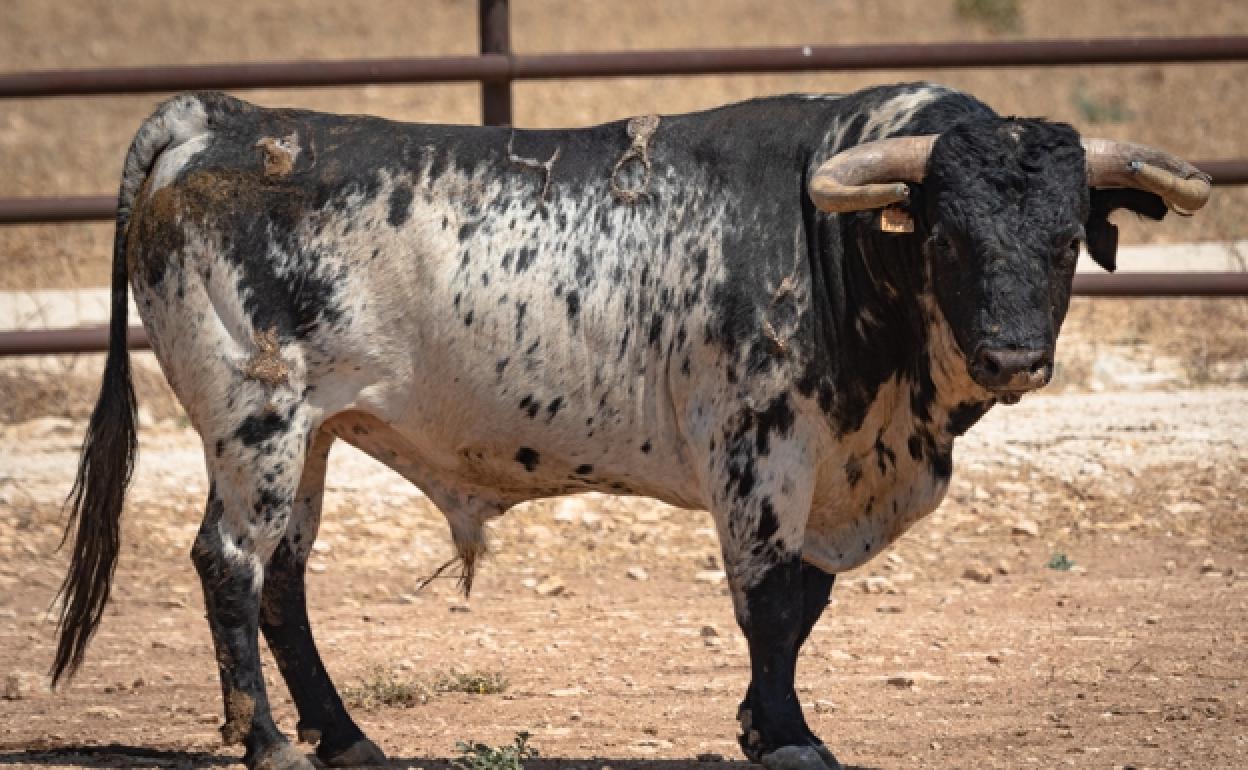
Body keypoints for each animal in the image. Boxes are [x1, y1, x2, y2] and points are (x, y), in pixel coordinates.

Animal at [51, 84, 1208, 768]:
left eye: (1064, 239)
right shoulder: (758, 448)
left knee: (284, 579)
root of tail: (218, 115)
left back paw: (344, 737)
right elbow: (771, 606)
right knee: (232, 564)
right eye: (947, 236)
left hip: (313, 436)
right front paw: (787, 736)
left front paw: (761, 723)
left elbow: (805, 603)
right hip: (258, 418)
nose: (1012, 355)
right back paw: (269, 741)